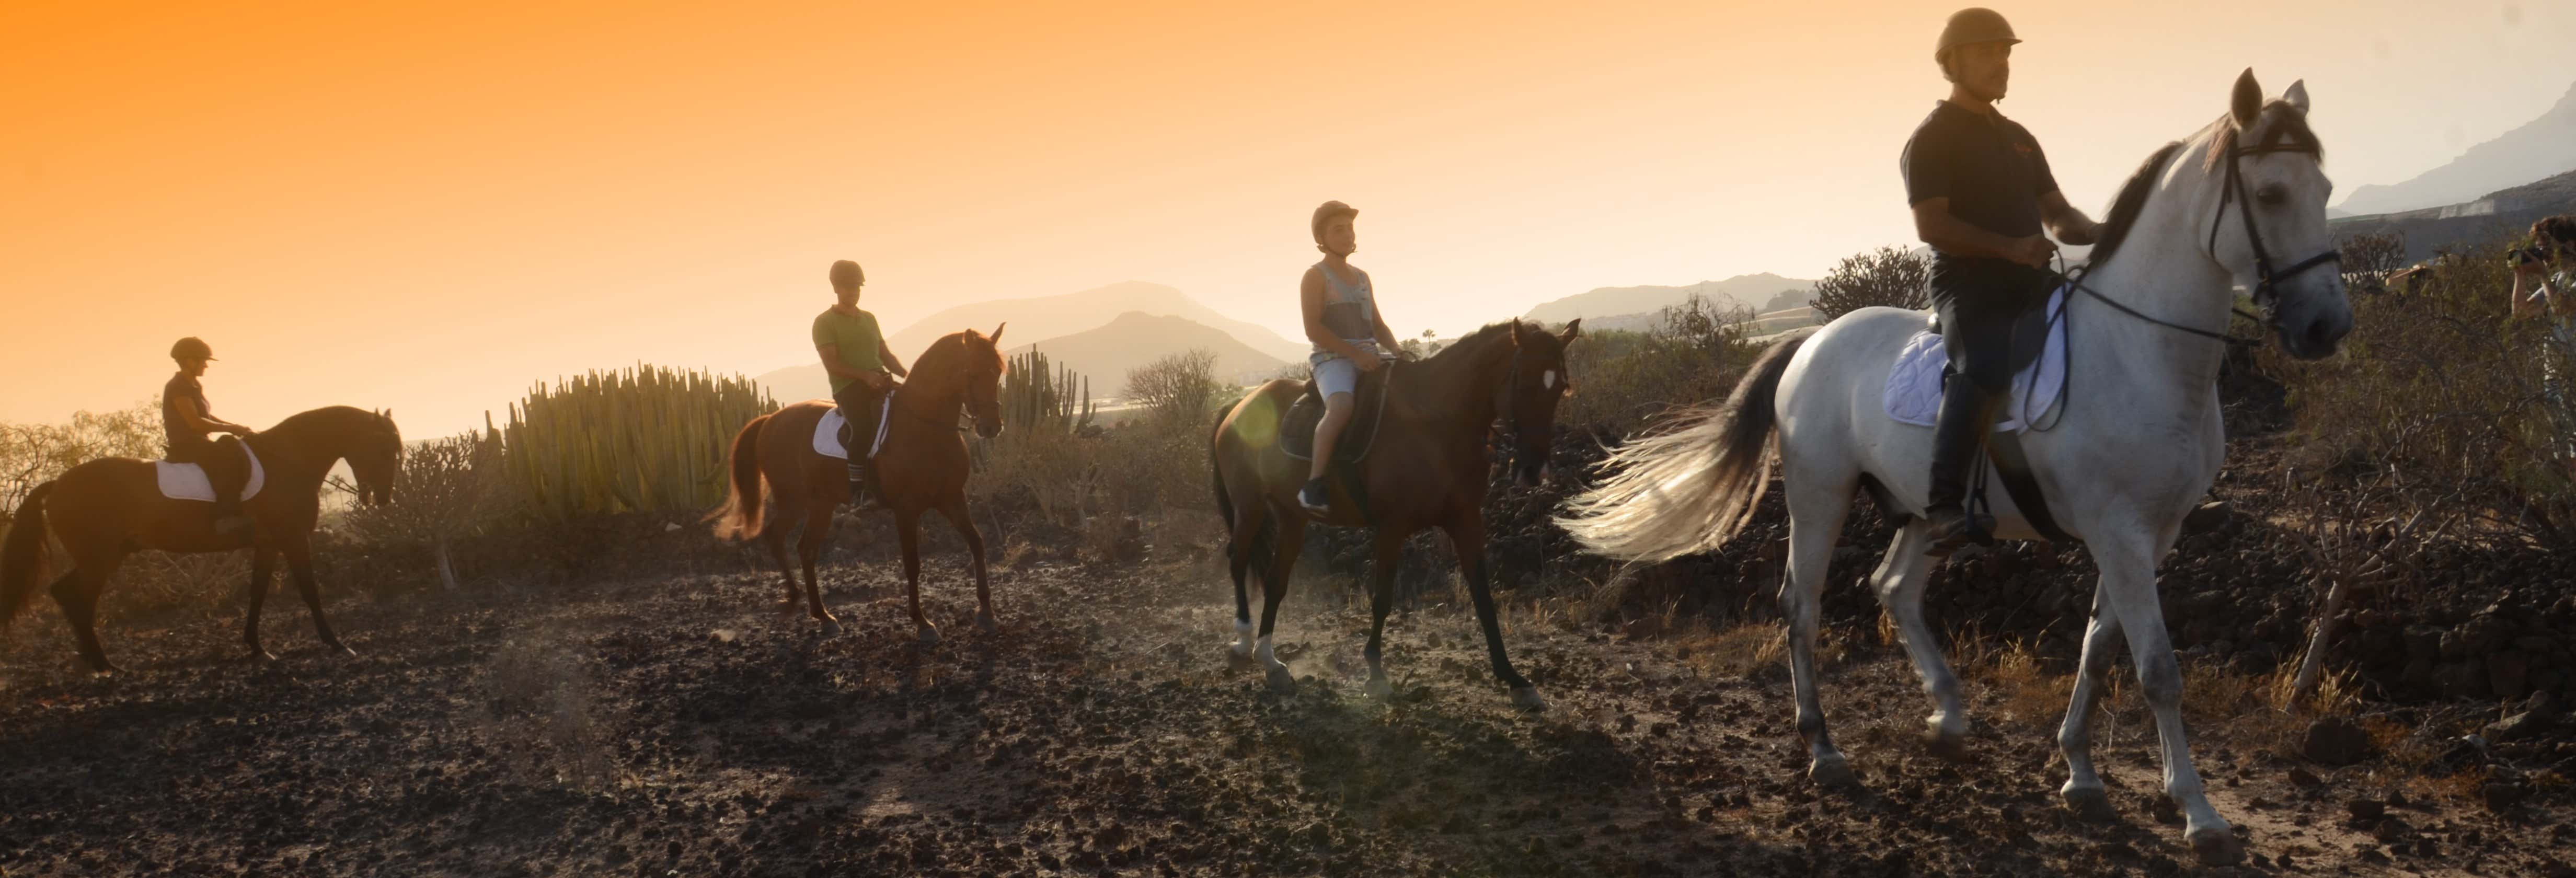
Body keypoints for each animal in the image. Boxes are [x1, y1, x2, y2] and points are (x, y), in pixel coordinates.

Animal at [0, 404, 401, 669]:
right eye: (384, 449)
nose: (383, 498)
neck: (286, 460)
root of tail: (57, 485)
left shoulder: (268, 544)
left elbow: (258, 594)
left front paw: (258, 648)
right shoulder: (293, 539)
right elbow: (310, 592)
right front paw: (337, 644)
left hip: (106, 555)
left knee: (67, 595)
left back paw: (93, 659)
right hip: (100, 558)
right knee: (75, 597)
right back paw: (103, 664)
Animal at [716, 324, 1015, 638]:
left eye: (997, 371)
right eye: (973, 373)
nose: (991, 427)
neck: (925, 426)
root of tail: (770, 420)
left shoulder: (952, 498)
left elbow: (977, 543)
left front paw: (986, 612)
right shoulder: (906, 509)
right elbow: (912, 563)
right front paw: (922, 622)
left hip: (817, 504)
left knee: (800, 548)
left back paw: (819, 613)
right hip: (799, 501)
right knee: (788, 542)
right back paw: (808, 606)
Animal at [1211, 318, 1586, 705]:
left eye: (1561, 388)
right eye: (1523, 384)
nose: (1533, 470)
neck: (1434, 425)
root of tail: (1239, 405)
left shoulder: (1466, 521)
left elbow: (1483, 598)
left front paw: (1514, 678)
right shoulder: (1391, 528)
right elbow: (1382, 599)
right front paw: (1376, 673)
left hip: (1291, 517)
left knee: (1276, 582)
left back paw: (1270, 660)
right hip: (1250, 506)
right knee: (1238, 561)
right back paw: (1243, 640)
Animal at [1545, 72, 2360, 865]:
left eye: (2323, 188)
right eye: (2270, 194)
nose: (2327, 327)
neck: (2141, 352)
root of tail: (1811, 341)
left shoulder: (2153, 535)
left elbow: (2099, 649)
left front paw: (2081, 775)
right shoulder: (2118, 531)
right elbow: (2157, 668)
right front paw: (2199, 814)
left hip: (1921, 508)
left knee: (1893, 588)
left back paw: (1947, 716)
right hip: (1819, 497)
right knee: (1800, 606)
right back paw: (1824, 750)